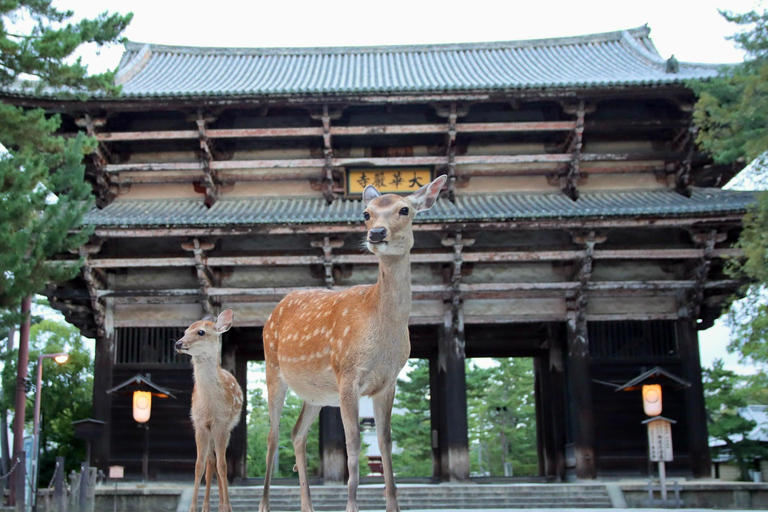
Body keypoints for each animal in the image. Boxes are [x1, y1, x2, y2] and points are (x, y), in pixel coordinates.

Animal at [176, 308, 243, 512]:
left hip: (225, 429)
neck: (210, 406)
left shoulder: (222, 424)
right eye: (185, 330)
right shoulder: (199, 424)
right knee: (210, 463)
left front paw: (228, 507)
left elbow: (223, 466)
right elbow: (199, 465)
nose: (178, 343)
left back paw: (221, 505)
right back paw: (207, 506)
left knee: (219, 463)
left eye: (201, 332)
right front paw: (192, 508)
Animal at [260, 175, 448, 512]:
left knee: (297, 433)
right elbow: (353, 442)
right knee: (273, 434)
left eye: (404, 209)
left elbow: (385, 443)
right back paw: (264, 505)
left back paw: (308, 506)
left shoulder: (388, 382)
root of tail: (273, 312)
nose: (377, 233)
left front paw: (393, 506)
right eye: (366, 213)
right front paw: (351, 506)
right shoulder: (347, 374)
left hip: (316, 393)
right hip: (273, 368)